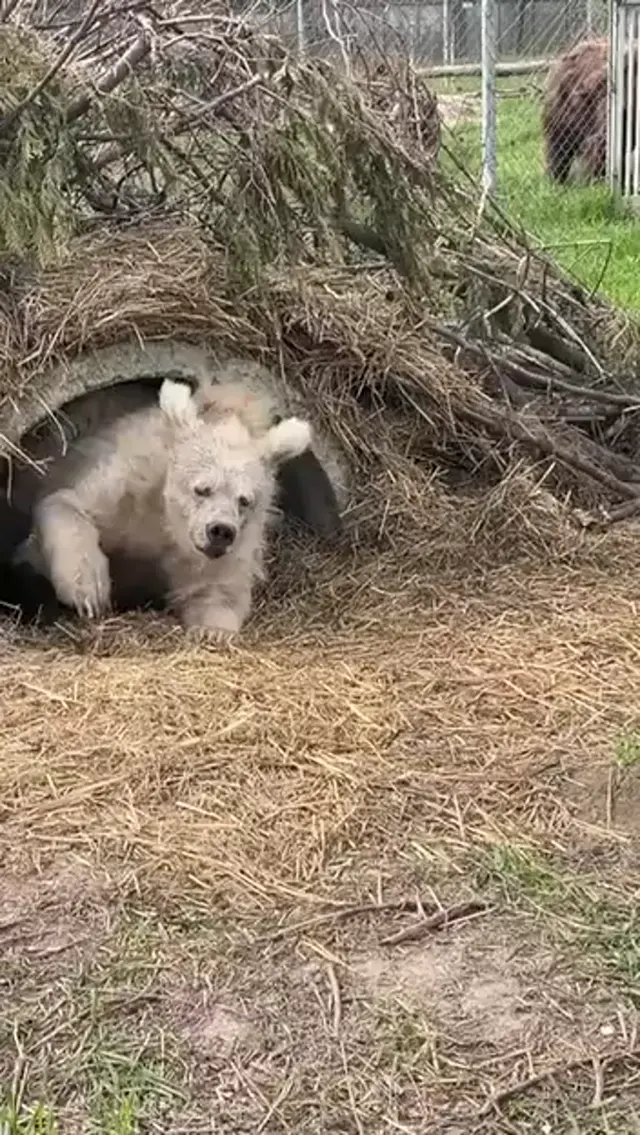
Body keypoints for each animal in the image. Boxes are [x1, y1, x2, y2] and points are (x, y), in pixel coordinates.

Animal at [17, 377, 313, 639]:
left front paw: (212, 631)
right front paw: (89, 591)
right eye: (201, 489)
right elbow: (67, 503)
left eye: (244, 500)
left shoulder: (225, 549)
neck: (168, 522)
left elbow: (217, 589)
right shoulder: (127, 486)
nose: (220, 531)